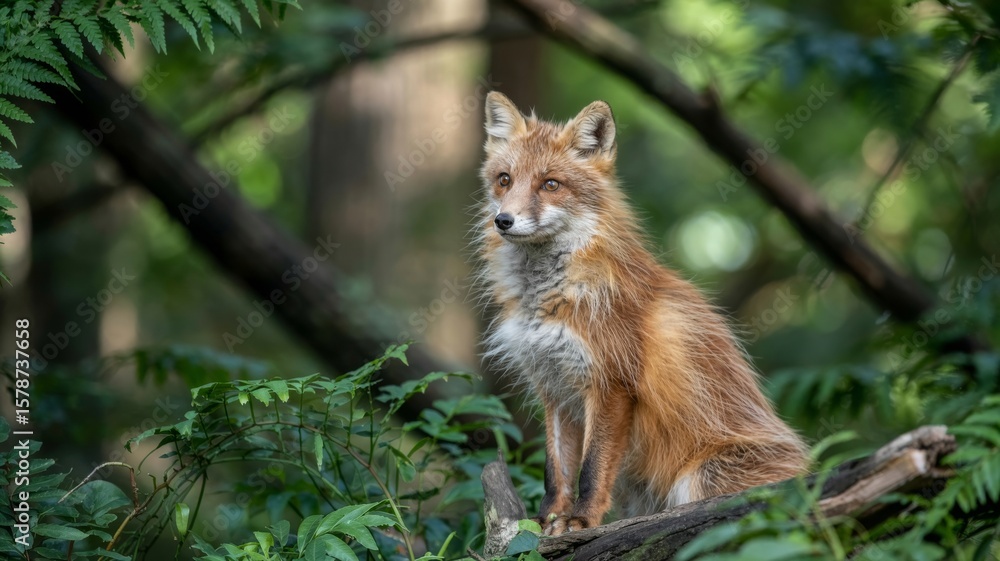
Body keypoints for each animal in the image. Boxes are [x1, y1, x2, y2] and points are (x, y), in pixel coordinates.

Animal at [476, 92, 808, 536]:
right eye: (504, 180)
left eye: (550, 184)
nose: (503, 220)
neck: (548, 302)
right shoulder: (554, 388)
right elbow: (556, 471)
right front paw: (546, 521)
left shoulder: (611, 383)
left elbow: (591, 469)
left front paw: (580, 520)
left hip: (699, 478)